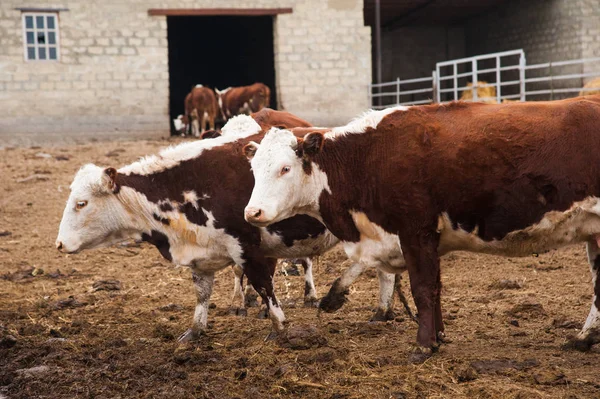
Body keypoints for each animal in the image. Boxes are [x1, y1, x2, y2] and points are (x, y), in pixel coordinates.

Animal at [55, 109, 408, 344]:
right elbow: (202, 293)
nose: (59, 244)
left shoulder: (249, 248)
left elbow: (264, 287)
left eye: (81, 203)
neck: (189, 185)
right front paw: (195, 331)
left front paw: (280, 327)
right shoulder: (200, 255)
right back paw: (382, 310)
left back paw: (356, 301)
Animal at [240, 97, 600, 362]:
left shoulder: (415, 231)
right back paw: (583, 338)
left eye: (285, 168)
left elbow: (423, 289)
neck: (369, 157)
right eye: (254, 170)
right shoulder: (427, 238)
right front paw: (438, 337)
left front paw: (423, 345)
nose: (251, 212)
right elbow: (436, 288)